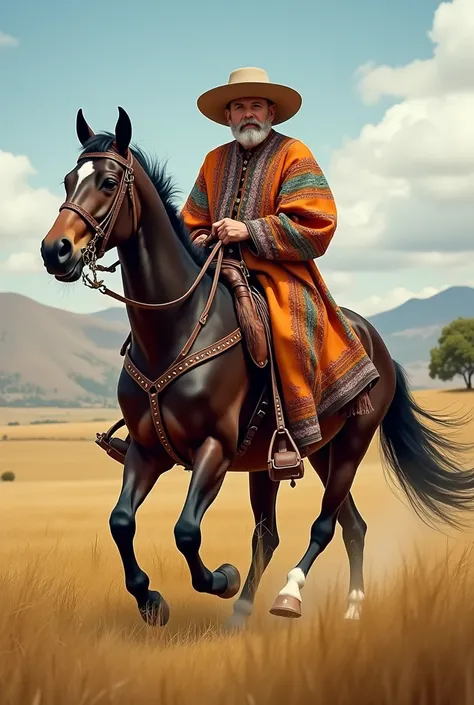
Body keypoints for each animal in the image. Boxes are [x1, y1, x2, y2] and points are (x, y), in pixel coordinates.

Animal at [39, 107, 474, 628]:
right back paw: (318, 608)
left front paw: (219, 579)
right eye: (68, 180)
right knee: (330, 527)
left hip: (350, 444)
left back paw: (289, 595)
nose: (55, 250)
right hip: (308, 455)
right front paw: (151, 601)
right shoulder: (146, 450)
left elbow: (186, 531)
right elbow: (120, 521)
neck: (177, 328)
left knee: (324, 525)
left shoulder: (216, 449)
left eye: (107, 181)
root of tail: (375, 342)